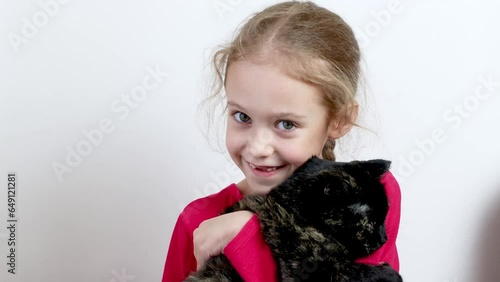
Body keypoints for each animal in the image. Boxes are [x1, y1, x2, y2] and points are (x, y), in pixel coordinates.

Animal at [185, 156, 402, 282]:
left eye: (385, 215)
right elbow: (353, 271)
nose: (384, 239)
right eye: (370, 221)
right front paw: (390, 274)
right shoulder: (306, 270)